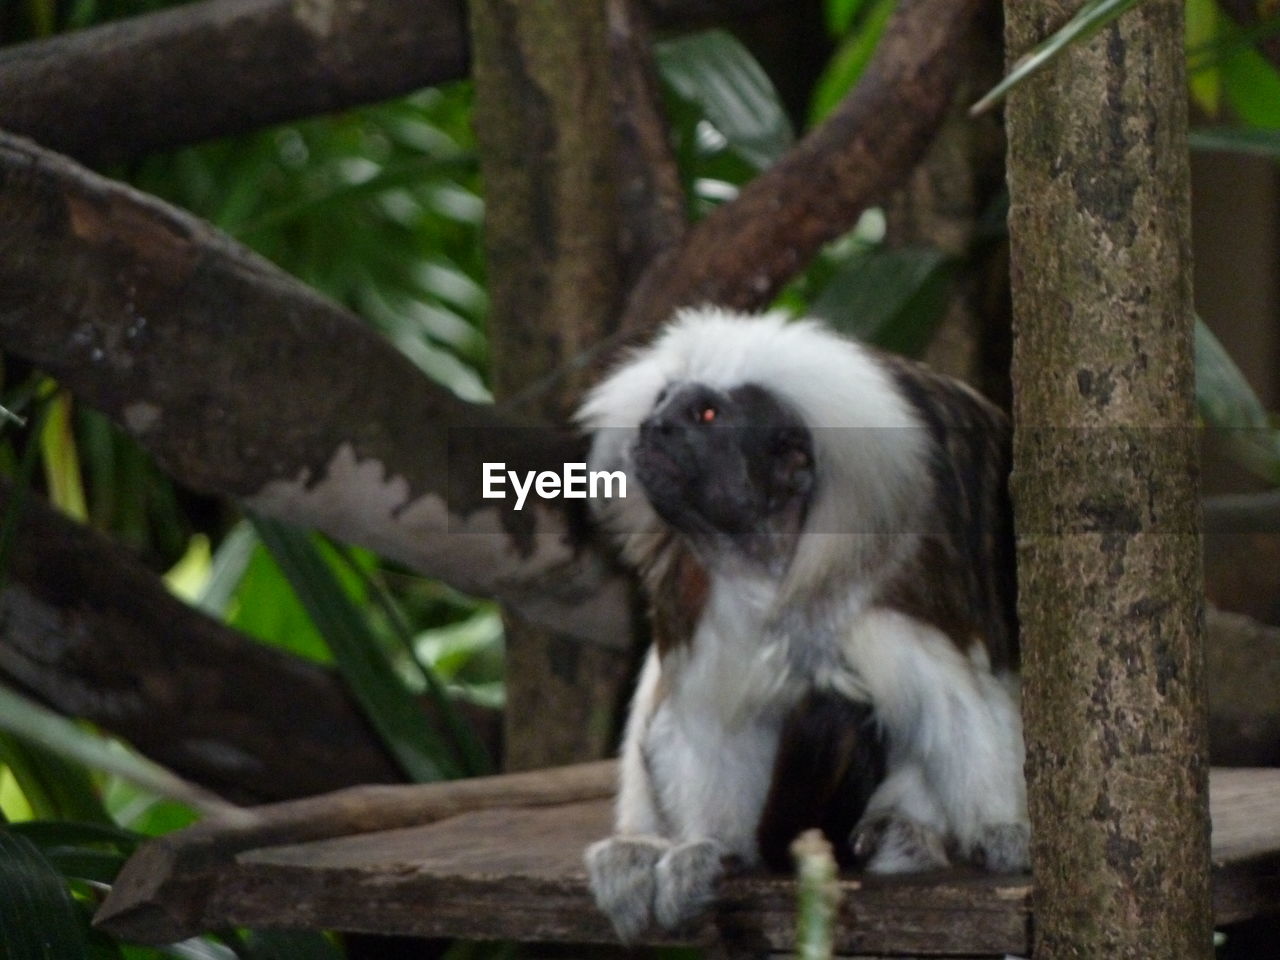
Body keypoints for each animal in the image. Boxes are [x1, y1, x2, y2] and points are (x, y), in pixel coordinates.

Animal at [576, 308, 1024, 942]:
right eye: (662, 402)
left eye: (705, 415)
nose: (653, 427)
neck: (768, 564)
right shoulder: (705, 602)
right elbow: (704, 721)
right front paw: (706, 850)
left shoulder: (878, 606)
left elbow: (956, 706)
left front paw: (1003, 835)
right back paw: (636, 846)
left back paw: (904, 833)